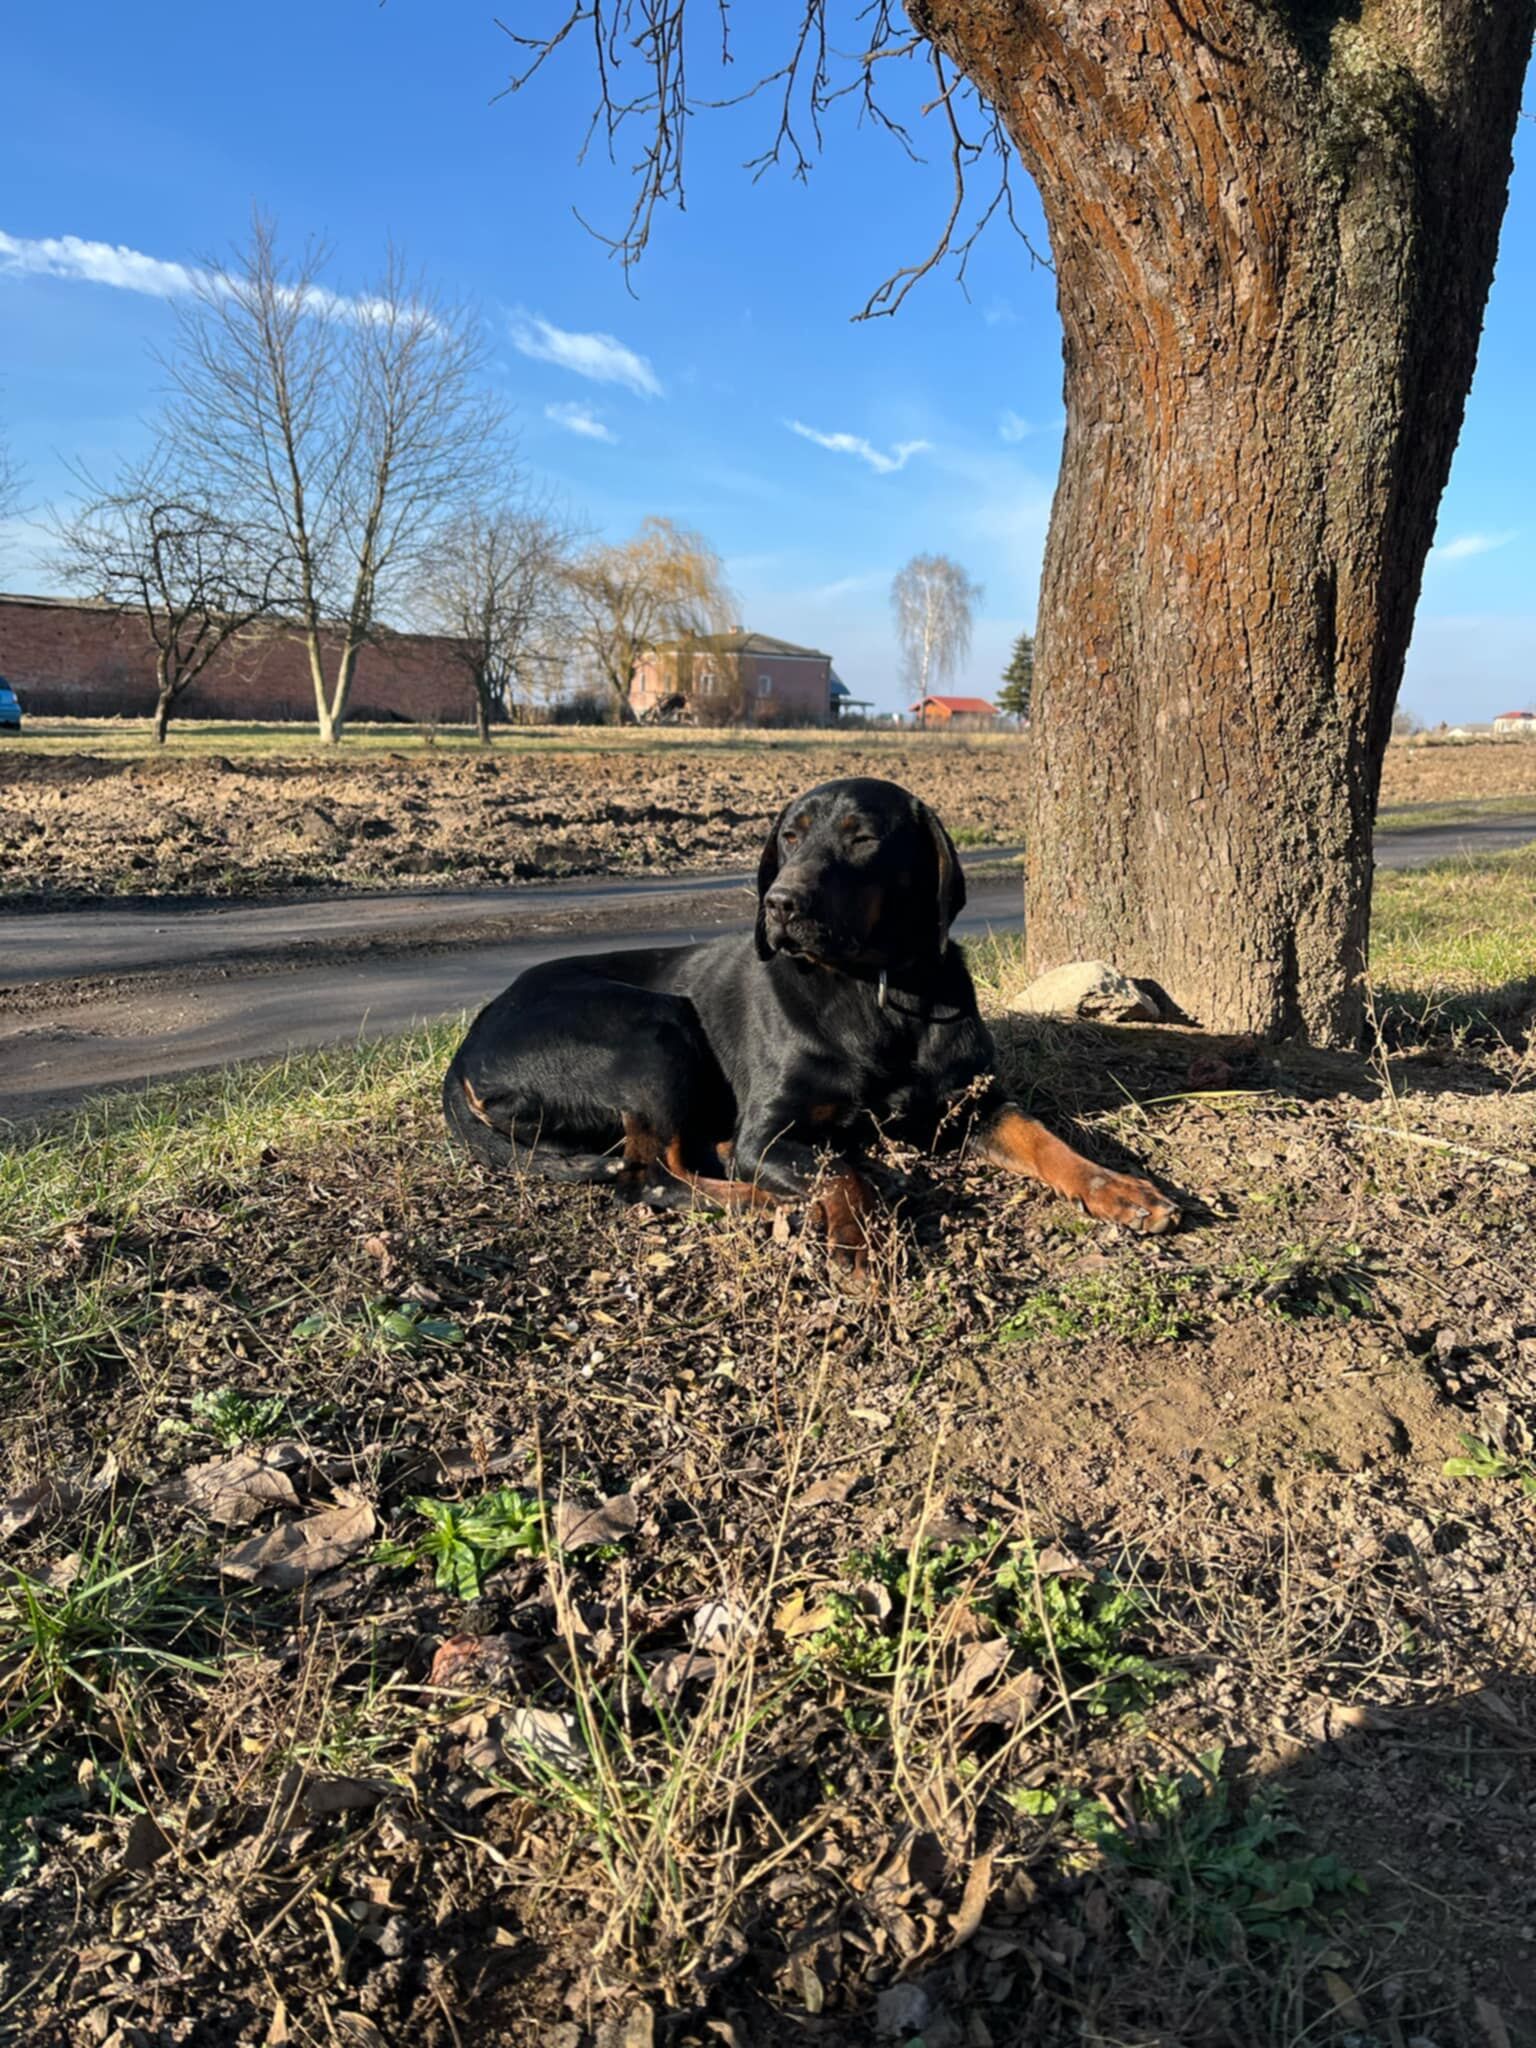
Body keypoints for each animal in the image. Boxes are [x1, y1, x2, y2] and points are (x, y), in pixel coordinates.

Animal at [438, 778, 1187, 1245]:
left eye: (863, 837)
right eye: (791, 838)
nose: (780, 903)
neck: (875, 990)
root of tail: (464, 1051)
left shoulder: (970, 1104)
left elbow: (1046, 1139)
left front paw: (1123, 1189)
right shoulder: (772, 1128)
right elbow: (840, 1174)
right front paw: (856, 1242)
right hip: (655, 1028)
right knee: (650, 1176)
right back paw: (765, 1200)